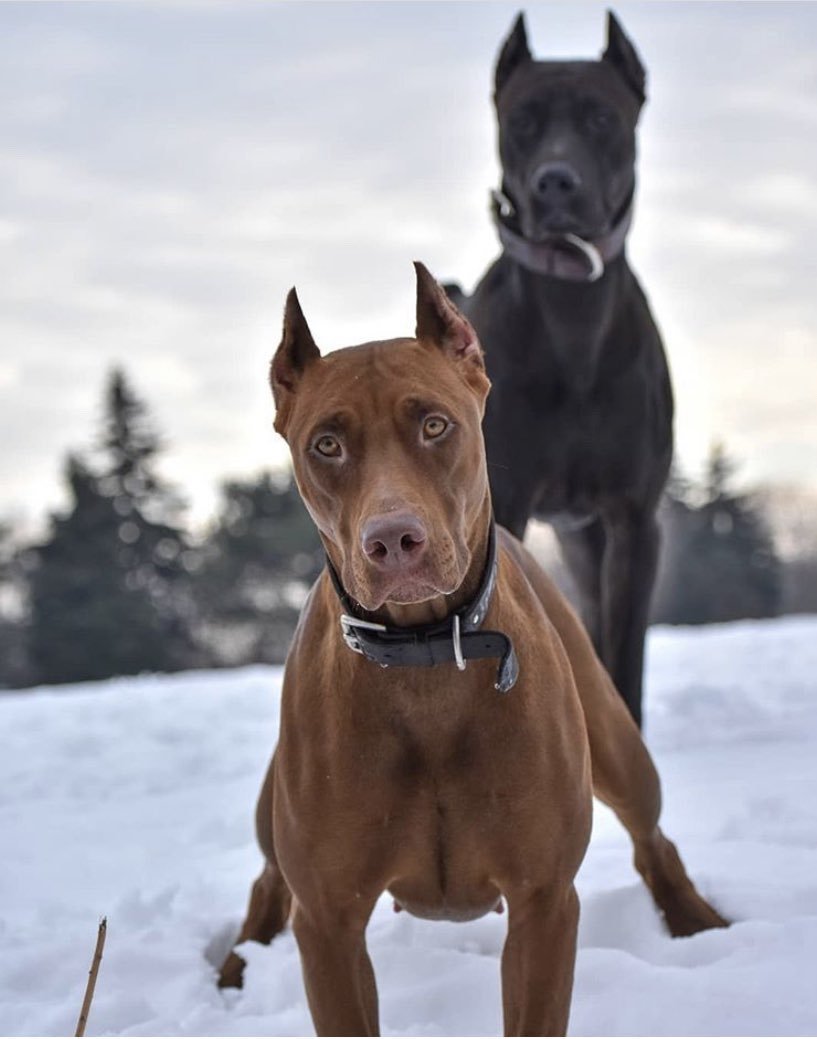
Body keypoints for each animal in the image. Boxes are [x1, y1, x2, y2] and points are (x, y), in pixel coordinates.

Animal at [218, 263, 727, 1034]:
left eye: (434, 424)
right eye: (326, 444)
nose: (393, 540)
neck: (427, 653)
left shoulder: (543, 902)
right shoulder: (330, 926)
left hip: (617, 745)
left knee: (651, 837)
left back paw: (695, 920)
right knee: (267, 880)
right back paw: (236, 964)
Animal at [451, 8, 669, 727]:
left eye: (601, 117)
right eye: (523, 120)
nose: (555, 181)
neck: (573, 307)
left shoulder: (633, 522)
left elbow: (624, 669)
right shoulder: (505, 508)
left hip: (588, 543)